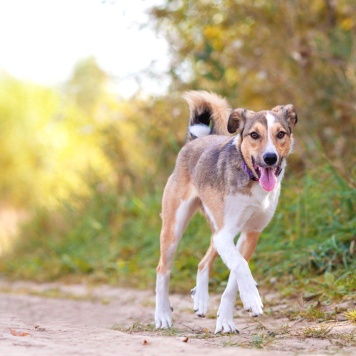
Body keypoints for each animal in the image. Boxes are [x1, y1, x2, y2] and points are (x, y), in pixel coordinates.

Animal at [154, 91, 296, 334]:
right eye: (254, 135)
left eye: (280, 134)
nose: (270, 158)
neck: (251, 179)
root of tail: (195, 140)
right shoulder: (226, 234)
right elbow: (240, 265)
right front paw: (253, 298)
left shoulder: (249, 234)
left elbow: (234, 279)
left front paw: (227, 320)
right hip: (174, 228)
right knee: (162, 269)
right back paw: (163, 315)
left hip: (216, 232)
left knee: (203, 262)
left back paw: (201, 300)